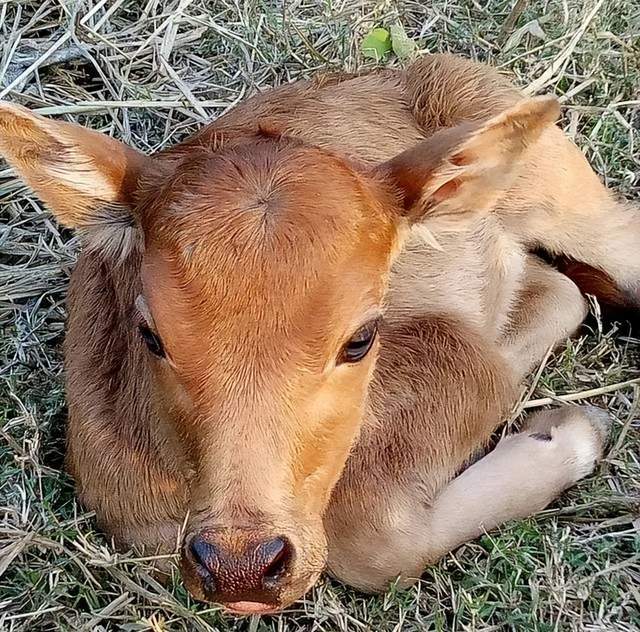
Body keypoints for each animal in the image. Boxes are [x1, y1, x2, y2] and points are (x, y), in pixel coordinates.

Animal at [0, 56, 636, 616]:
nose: (240, 565)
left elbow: (373, 542)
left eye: (361, 338)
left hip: (564, 199)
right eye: (150, 335)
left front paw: (572, 431)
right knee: (560, 287)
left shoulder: (452, 356)